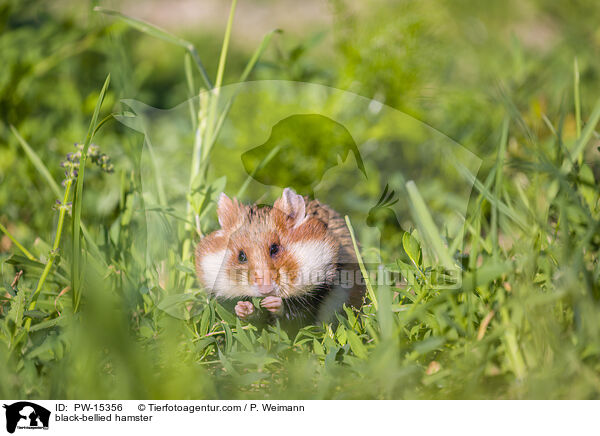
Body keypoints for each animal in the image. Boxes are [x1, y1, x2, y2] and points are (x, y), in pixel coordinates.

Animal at [196, 187, 366, 328]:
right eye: (241, 256)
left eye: (274, 248)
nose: (265, 290)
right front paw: (244, 308)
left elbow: (296, 314)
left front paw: (273, 303)